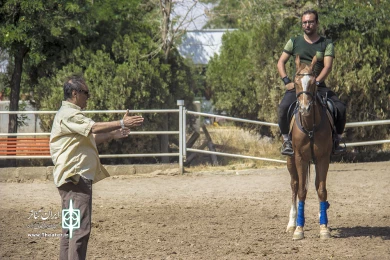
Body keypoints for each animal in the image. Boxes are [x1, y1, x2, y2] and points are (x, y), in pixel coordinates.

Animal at [284, 54, 334, 240]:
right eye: (296, 82)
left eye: (313, 83)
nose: (305, 108)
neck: (310, 126)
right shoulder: (300, 158)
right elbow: (301, 191)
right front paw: (299, 229)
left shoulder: (323, 158)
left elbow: (321, 189)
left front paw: (324, 227)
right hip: (290, 161)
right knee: (294, 185)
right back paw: (291, 223)